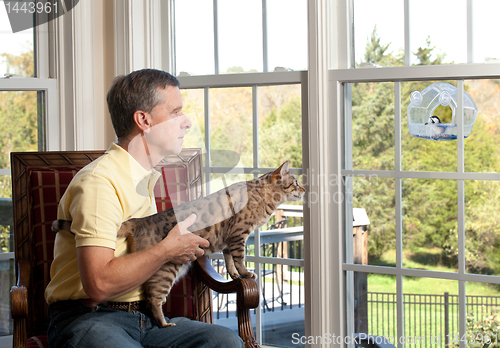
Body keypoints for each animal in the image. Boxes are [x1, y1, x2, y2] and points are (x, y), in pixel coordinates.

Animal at [52, 162, 306, 328]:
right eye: (295, 182)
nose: (304, 189)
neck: (263, 196)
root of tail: (140, 221)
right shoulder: (238, 235)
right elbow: (240, 259)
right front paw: (245, 274)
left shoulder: (228, 241)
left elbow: (229, 261)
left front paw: (234, 276)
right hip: (166, 269)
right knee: (153, 299)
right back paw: (164, 324)